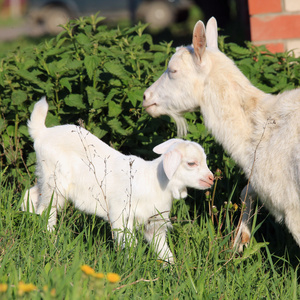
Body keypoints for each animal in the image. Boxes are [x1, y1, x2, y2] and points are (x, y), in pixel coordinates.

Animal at [24, 97, 216, 262]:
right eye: (191, 163)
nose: (211, 179)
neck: (155, 183)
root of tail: (42, 132)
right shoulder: (121, 214)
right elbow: (130, 243)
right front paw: (130, 265)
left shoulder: (154, 224)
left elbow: (163, 250)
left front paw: (172, 271)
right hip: (55, 180)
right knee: (47, 209)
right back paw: (49, 238)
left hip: (45, 177)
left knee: (32, 195)